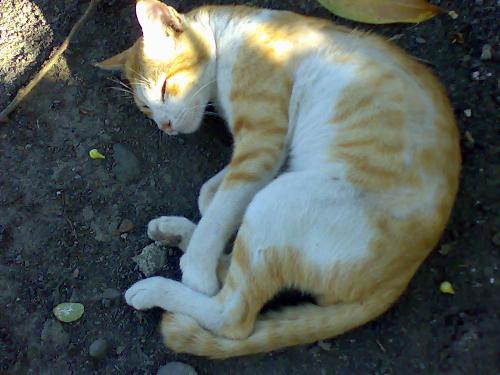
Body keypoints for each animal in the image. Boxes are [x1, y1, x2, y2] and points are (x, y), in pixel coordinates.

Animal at [96, 0, 460, 358]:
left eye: (165, 88)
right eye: (146, 108)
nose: (165, 126)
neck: (229, 31)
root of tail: (402, 275)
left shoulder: (262, 143)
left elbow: (221, 209)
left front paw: (198, 267)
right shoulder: (271, 154)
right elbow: (212, 196)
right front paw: (205, 227)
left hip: (279, 202)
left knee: (232, 316)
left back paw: (159, 286)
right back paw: (177, 233)